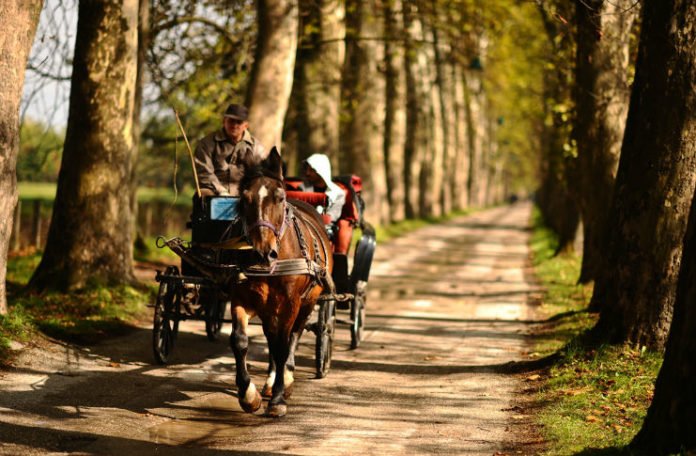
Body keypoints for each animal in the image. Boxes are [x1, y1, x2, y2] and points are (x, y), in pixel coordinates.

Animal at [231, 147, 334, 416]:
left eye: (279, 197)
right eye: (244, 198)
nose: (262, 252)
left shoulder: (290, 303)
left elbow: (282, 346)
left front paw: (278, 398)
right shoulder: (241, 298)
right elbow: (240, 340)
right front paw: (248, 395)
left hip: (308, 300)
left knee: (293, 334)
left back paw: (285, 378)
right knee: (271, 335)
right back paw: (269, 383)